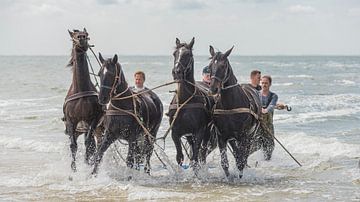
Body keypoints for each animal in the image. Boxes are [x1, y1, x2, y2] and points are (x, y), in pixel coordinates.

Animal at [62, 28, 102, 172]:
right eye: (74, 36)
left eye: (87, 35)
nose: (82, 38)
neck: (81, 90)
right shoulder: (71, 121)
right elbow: (73, 145)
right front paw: (73, 170)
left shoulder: (93, 119)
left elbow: (89, 143)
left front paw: (86, 162)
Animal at [208, 45, 262, 178]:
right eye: (210, 66)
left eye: (223, 66)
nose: (213, 89)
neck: (229, 106)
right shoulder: (221, 136)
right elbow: (225, 163)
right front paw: (229, 177)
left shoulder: (243, 135)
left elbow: (241, 160)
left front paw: (240, 175)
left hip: (250, 134)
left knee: (244, 153)